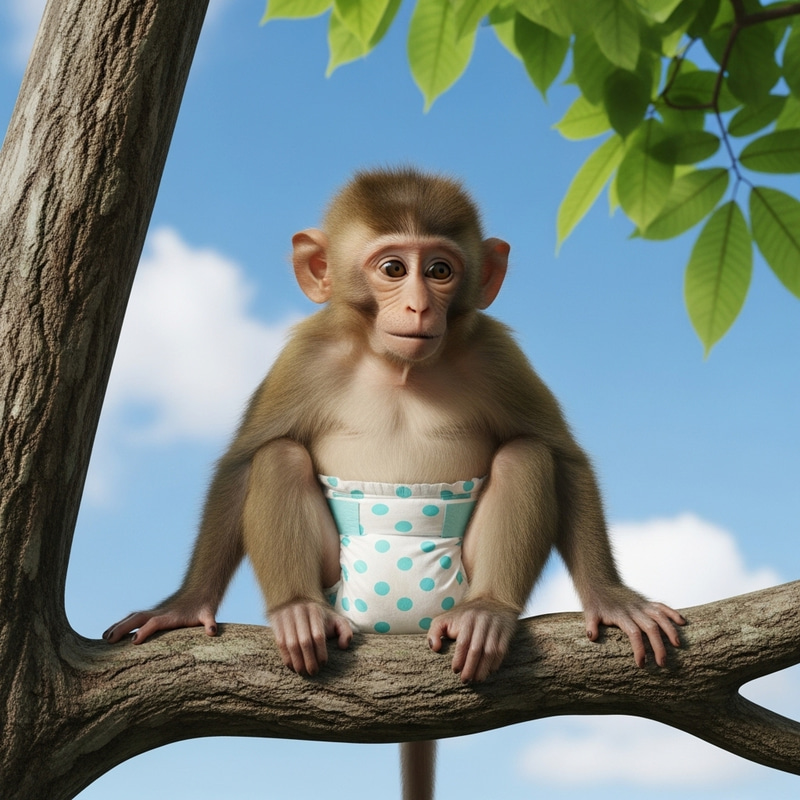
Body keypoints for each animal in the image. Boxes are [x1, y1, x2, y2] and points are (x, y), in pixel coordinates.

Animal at [104, 167, 685, 800]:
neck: (398, 366)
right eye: (391, 268)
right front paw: (184, 605)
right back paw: (298, 611)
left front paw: (613, 599)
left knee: (526, 456)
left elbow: (561, 454)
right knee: (278, 457)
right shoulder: (305, 353)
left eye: (440, 270)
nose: (418, 305)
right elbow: (243, 460)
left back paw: (486, 613)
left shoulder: (497, 351)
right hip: (341, 591)